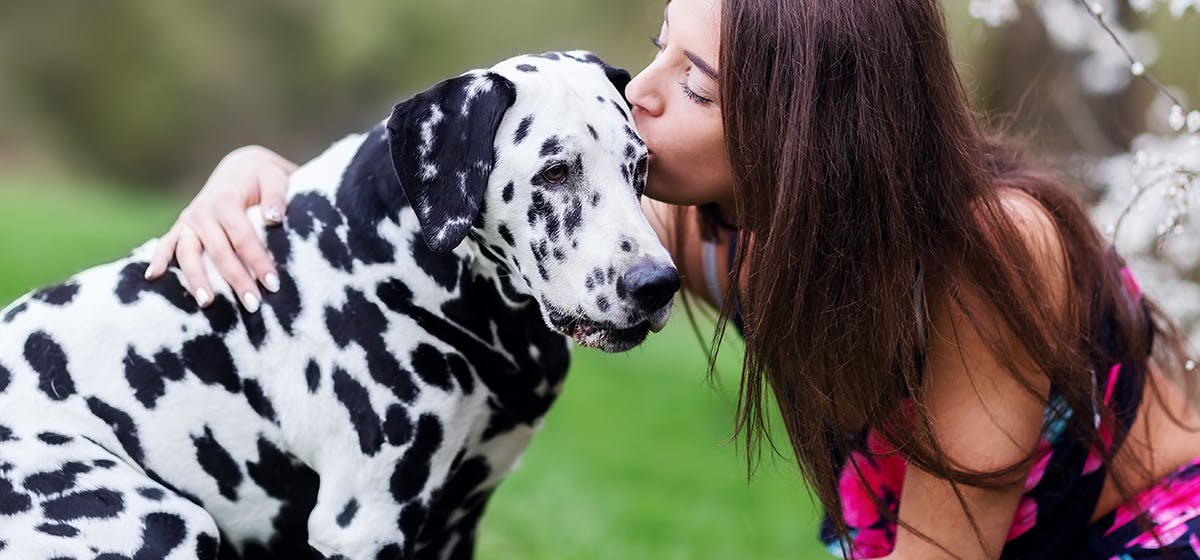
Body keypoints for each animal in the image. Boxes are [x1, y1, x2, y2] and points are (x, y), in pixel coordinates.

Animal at [0, 50, 676, 558]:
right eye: (555, 171)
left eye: (640, 166)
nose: (657, 283)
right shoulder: (366, 525)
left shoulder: (456, 525)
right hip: (165, 523)